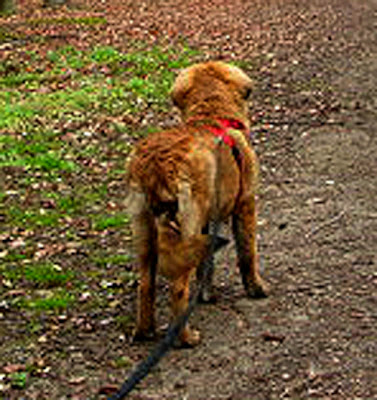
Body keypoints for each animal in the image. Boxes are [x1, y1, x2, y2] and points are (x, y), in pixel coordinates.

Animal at [126, 60, 268, 346]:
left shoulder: (207, 223)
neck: (211, 114)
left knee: (145, 284)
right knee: (178, 290)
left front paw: (207, 295)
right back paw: (186, 337)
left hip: (145, 230)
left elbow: (206, 264)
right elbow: (247, 253)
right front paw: (256, 288)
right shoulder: (246, 203)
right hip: (185, 227)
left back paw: (145, 331)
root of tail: (157, 166)